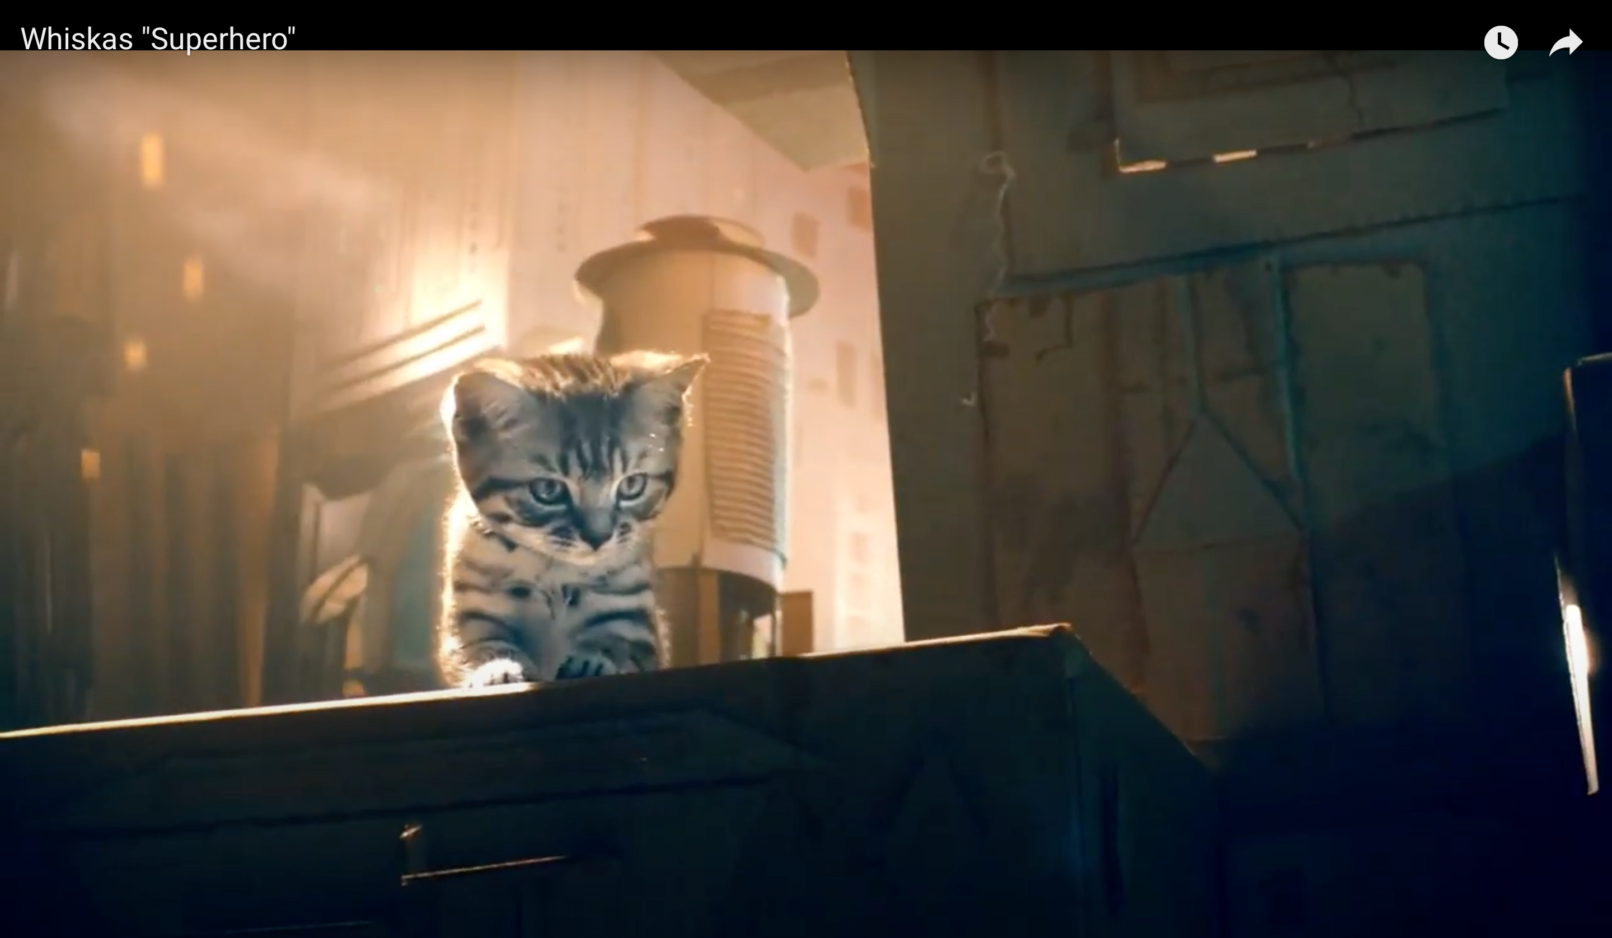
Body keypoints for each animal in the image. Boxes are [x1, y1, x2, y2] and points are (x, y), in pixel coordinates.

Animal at [435, 350, 706, 688]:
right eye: (548, 490)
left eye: (632, 485)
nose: (598, 538)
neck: (556, 572)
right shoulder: (470, 613)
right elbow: (480, 646)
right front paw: (497, 668)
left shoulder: (635, 620)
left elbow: (616, 644)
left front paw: (594, 662)